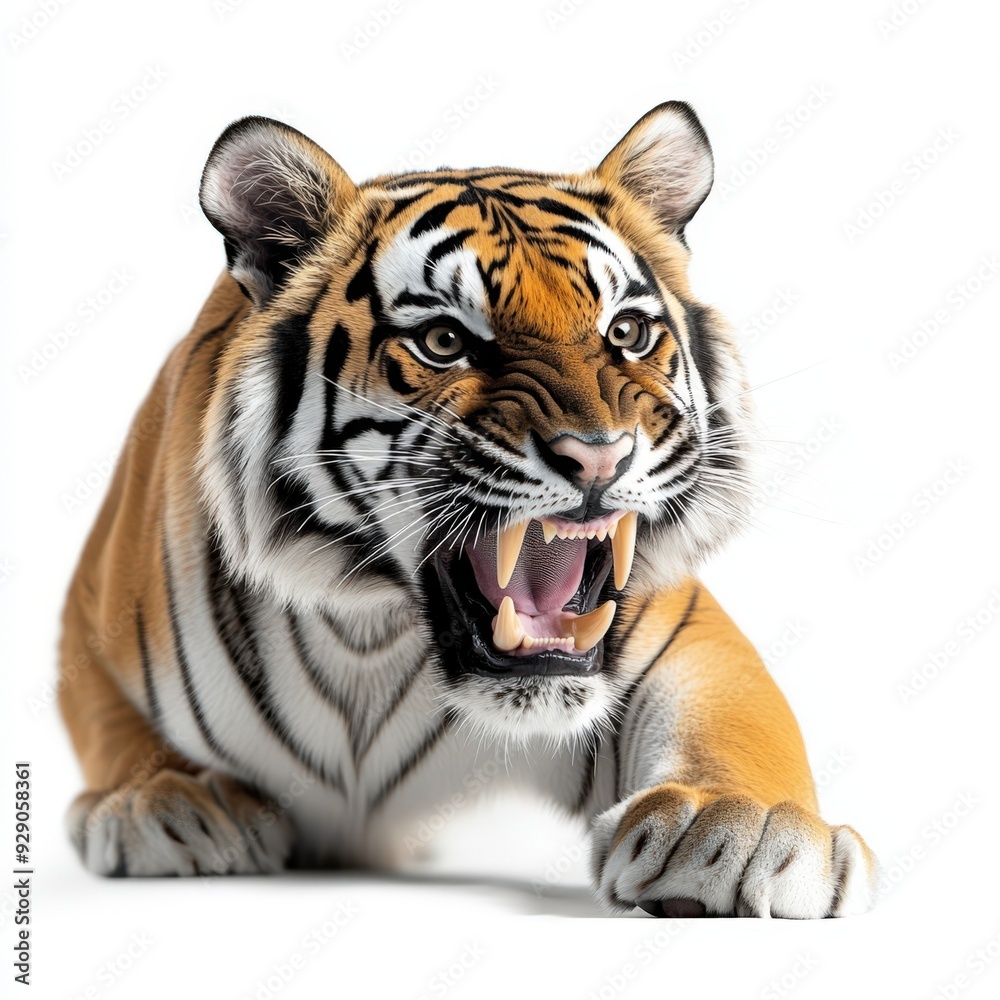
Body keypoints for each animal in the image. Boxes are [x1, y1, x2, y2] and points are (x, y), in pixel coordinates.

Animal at [59, 101, 879, 918]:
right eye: (445, 340)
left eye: (626, 332)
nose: (599, 456)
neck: (371, 637)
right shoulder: (92, 626)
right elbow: (110, 723)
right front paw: (166, 804)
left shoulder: (678, 634)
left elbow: (739, 716)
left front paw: (742, 827)